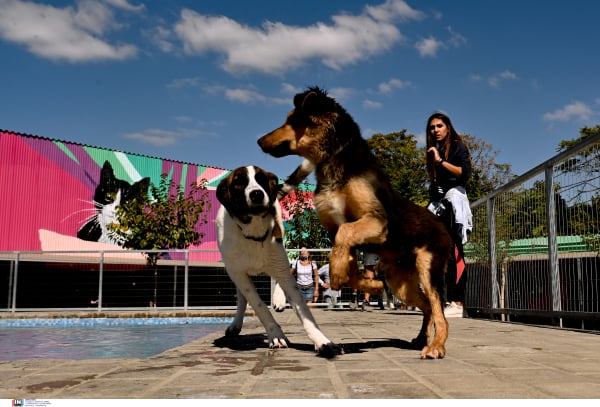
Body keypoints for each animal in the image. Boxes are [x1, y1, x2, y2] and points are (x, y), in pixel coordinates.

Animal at [216, 164, 340, 358]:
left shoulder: (279, 259)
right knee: (242, 297)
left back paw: (279, 299)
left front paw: (322, 341)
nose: (257, 194)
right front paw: (276, 334)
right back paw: (236, 324)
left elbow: (303, 310)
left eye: (261, 180)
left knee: (283, 275)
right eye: (239, 182)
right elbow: (259, 306)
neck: (254, 233)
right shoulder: (237, 272)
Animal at [256, 87, 450, 360]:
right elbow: (348, 268)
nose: (259, 141)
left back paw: (435, 346)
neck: (333, 159)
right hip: (400, 281)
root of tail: (442, 225)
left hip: (428, 269)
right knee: (427, 307)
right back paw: (421, 338)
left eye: (292, 120)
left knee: (439, 309)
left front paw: (341, 276)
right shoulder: (339, 233)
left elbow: (344, 244)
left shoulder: (376, 222)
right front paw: (371, 285)